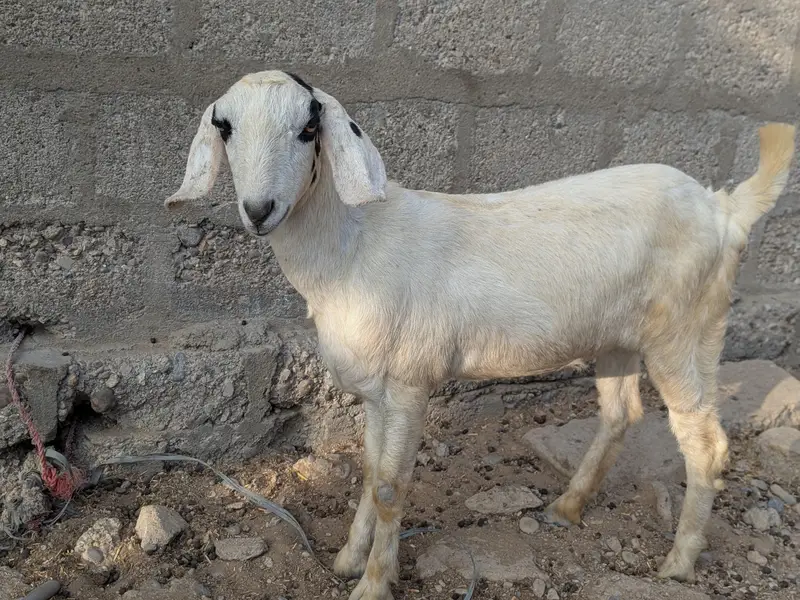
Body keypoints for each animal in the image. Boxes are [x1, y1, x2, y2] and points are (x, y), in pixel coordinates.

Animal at [166, 70, 795, 600]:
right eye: (225, 127)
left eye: (307, 129)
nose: (259, 209)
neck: (351, 247)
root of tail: (723, 208)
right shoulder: (377, 390)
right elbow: (370, 474)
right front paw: (347, 559)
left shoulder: (410, 383)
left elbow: (391, 487)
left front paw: (373, 583)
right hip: (621, 336)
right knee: (622, 414)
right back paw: (567, 507)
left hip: (686, 331)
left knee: (705, 443)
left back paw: (678, 562)